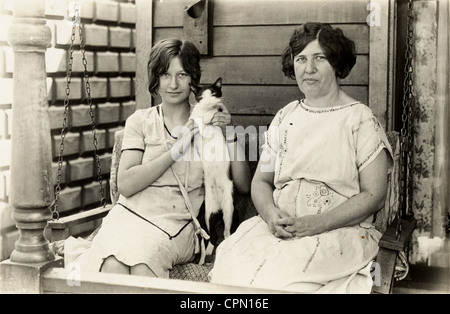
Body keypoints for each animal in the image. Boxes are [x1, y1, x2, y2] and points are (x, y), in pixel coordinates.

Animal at [189, 76, 236, 245]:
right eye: (202, 97)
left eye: (214, 94)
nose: (209, 102)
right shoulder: (194, 116)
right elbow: (196, 116)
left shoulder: (217, 112)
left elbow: (213, 113)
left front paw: (209, 115)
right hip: (208, 211)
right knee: (210, 235)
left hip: (229, 207)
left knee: (226, 230)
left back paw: (228, 239)